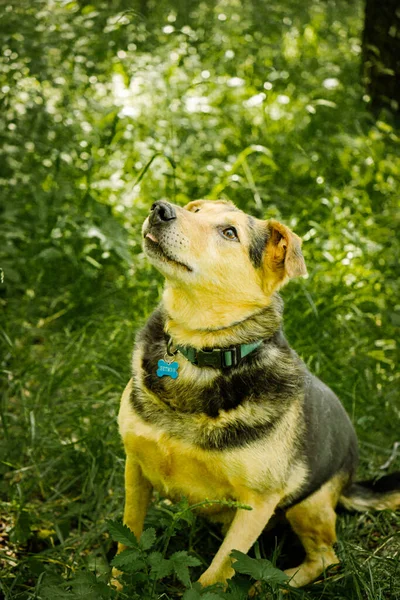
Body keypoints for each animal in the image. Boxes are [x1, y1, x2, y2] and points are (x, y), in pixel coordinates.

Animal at [113, 200, 400, 592]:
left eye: (229, 232)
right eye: (196, 209)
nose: (160, 208)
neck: (198, 350)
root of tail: (350, 480)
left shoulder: (257, 505)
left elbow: (215, 574)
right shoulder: (135, 466)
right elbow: (127, 540)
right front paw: (114, 586)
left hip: (307, 506)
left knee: (326, 557)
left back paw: (270, 584)